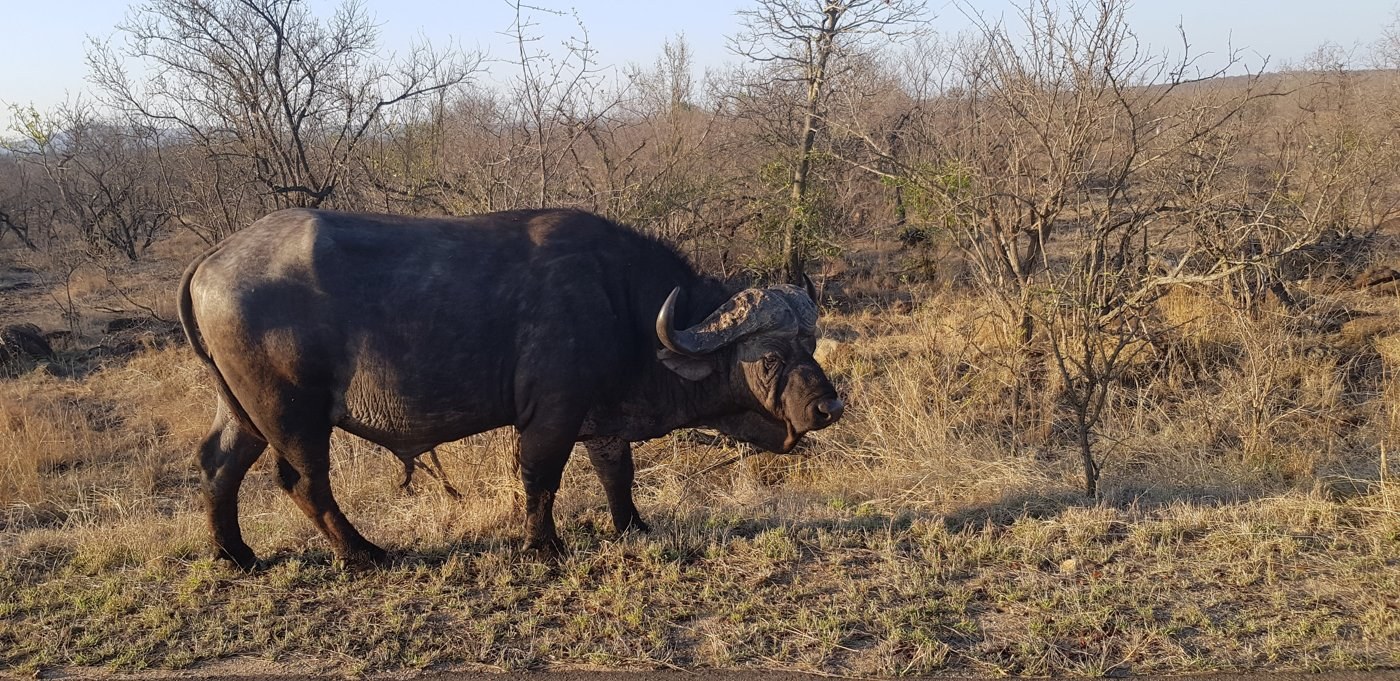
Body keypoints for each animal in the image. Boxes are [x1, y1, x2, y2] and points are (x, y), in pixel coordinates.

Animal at [178, 208, 844, 569]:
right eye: (770, 357)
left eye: (811, 346)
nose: (829, 406)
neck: (621, 305)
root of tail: (213, 258)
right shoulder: (551, 413)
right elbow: (542, 477)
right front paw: (543, 546)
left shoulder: (600, 418)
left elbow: (617, 473)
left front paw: (631, 525)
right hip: (292, 414)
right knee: (305, 481)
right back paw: (364, 552)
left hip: (243, 413)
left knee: (218, 466)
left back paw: (236, 554)